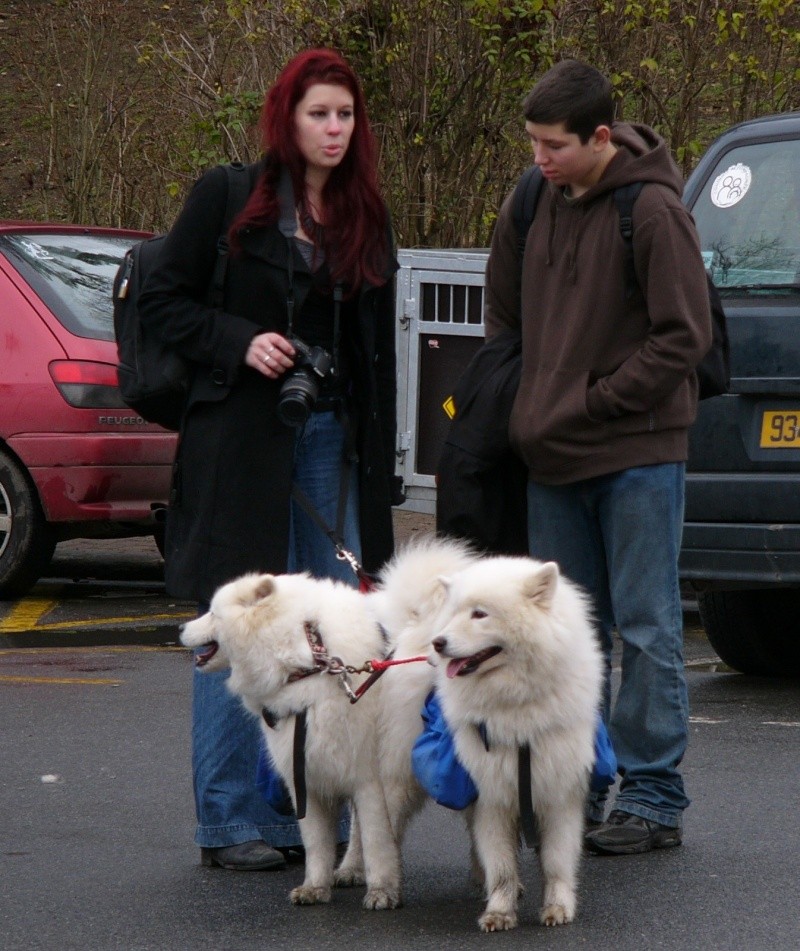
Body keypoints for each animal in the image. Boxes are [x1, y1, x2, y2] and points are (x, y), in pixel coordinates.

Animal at [424, 556, 600, 932]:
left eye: (479, 614)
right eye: (454, 613)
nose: (438, 643)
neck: (517, 712)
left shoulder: (560, 791)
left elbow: (556, 862)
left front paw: (558, 907)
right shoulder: (492, 794)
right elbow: (501, 864)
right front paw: (500, 911)